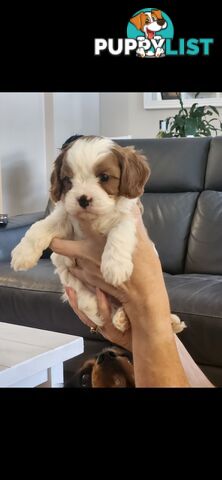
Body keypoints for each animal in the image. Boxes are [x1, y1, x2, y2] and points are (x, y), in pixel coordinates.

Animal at [10, 135, 184, 334]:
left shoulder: (130, 216)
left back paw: (163, 321)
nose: (83, 199)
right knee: (90, 302)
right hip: (75, 284)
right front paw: (22, 254)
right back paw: (117, 317)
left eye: (105, 177)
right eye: (67, 180)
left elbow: (120, 232)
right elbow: (40, 226)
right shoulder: (65, 218)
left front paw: (115, 266)